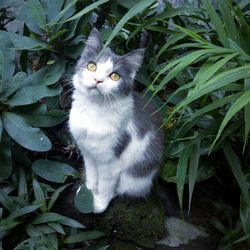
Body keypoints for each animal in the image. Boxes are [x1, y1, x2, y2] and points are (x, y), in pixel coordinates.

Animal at [69, 28, 165, 213]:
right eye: (92, 66)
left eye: (114, 76)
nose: (97, 80)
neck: (94, 109)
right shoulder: (87, 152)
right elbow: (92, 174)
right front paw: (88, 190)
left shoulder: (111, 162)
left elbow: (106, 185)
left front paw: (98, 205)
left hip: (134, 176)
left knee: (123, 188)